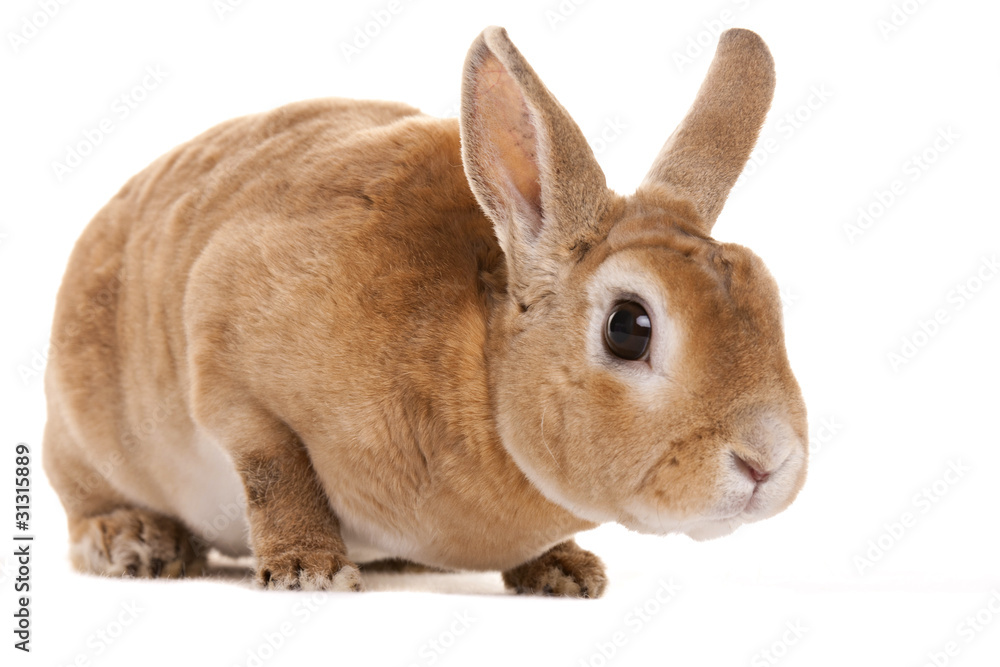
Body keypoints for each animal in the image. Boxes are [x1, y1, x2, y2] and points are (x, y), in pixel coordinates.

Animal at [42, 26, 807, 597]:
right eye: (628, 327)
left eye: (771, 298)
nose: (769, 463)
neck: (481, 376)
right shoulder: (226, 360)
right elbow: (273, 465)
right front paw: (309, 568)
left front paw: (563, 569)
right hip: (84, 439)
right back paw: (135, 541)